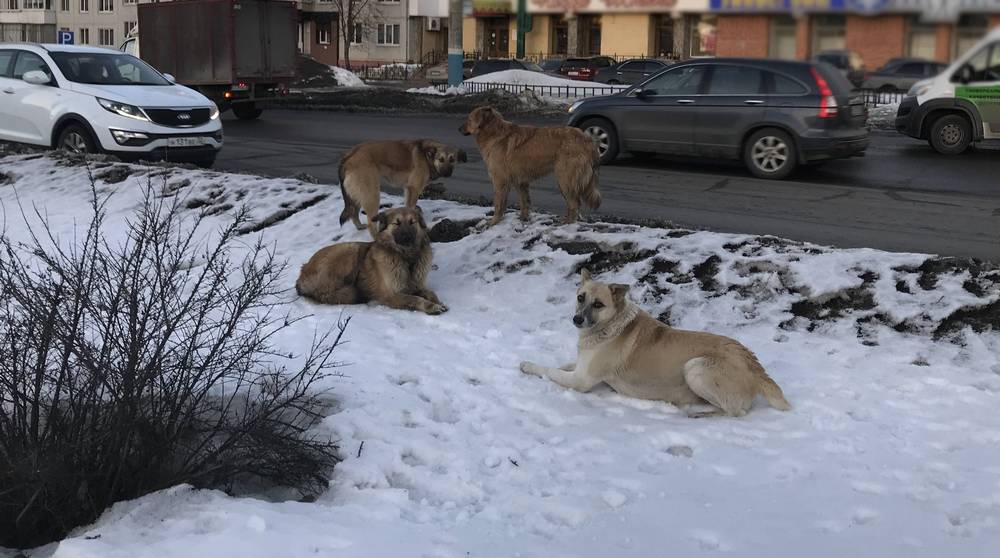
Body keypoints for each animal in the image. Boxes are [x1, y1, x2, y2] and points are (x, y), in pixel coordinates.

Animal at [294, 208, 448, 318]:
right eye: (396, 223)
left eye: (412, 222)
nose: (406, 237)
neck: (406, 257)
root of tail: (302, 272)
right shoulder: (391, 295)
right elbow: (415, 299)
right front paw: (432, 307)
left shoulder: (417, 285)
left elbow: (430, 292)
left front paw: (438, 302)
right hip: (350, 251)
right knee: (326, 293)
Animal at [460, 106, 600, 226]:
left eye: (469, 119)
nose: (458, 128)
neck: (493, 132)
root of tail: (588, 140)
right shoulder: (520, 182)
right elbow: (524, 202)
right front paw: (523, 218)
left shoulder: (500, 180)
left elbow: (499, 204)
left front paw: (494, 222)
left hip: (564, 179)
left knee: (574, 203)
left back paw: (566, 224)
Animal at [520, 270, 792, 418]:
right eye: (580, 297)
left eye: (598, 304)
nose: (577, 319)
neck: (611, 325)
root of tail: (754, 365)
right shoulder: (580, 367)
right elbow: (562, 364)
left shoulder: (581, 381)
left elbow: (550, 370)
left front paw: (528, 365)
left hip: (695, 367)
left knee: (736, 411)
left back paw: (699, 414)